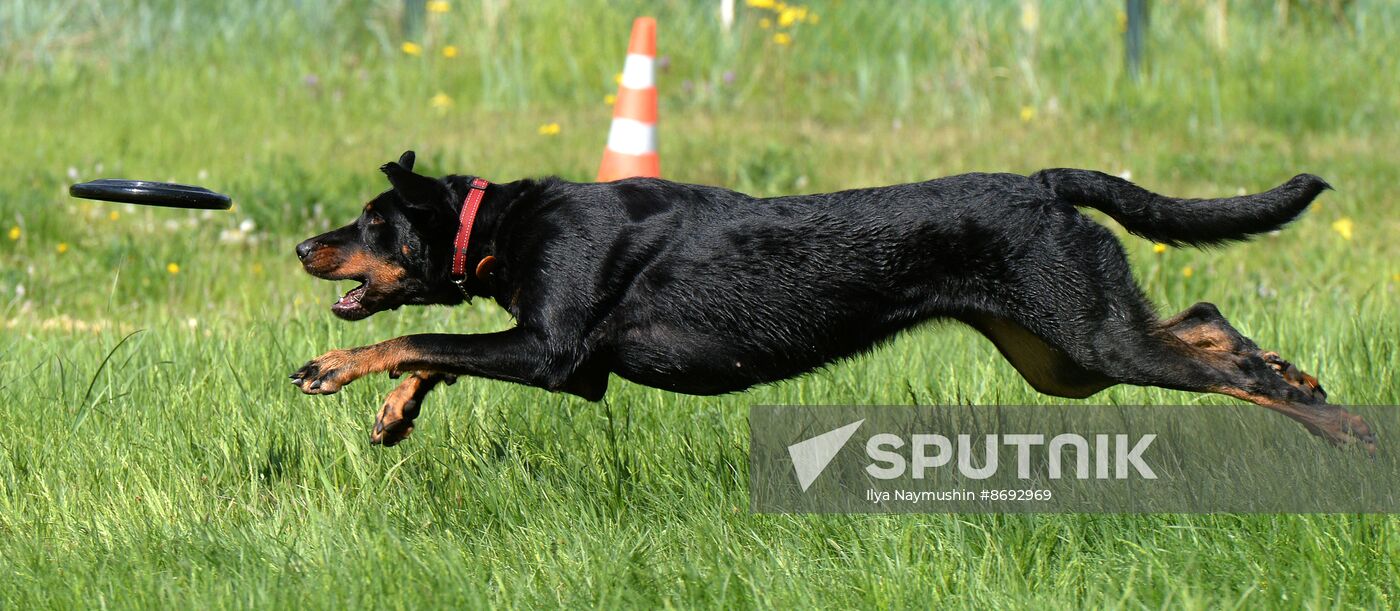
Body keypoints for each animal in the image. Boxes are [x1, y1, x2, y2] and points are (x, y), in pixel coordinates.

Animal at [289, 152, 1372, 448]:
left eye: (371, 222)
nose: (304, 244)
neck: (506, 222)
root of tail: (1044, 181)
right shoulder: (552, 356)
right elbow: (433, 351)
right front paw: (392, 412)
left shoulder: (558, 355)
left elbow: (424, 335)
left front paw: (338, 369)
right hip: (1060, 356)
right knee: (1204, 325)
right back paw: (1297, 374)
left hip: (1086, 336)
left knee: (1210, 355)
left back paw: (1335, 421)